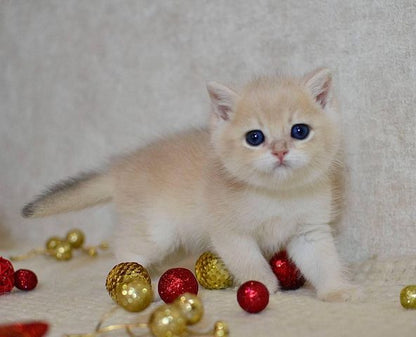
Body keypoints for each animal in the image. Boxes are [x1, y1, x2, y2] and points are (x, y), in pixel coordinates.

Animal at [22, 67, 354, 300]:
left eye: (300, 131)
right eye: (255, 137)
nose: (280, 151)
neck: (276, 195)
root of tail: (123, 166)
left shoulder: (309, 232)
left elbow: (324, 262)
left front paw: (337, 290)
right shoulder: (230, 234)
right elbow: (249, 263)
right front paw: (263, 288)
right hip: (156, 231)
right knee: (127, 247)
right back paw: (128, 278)